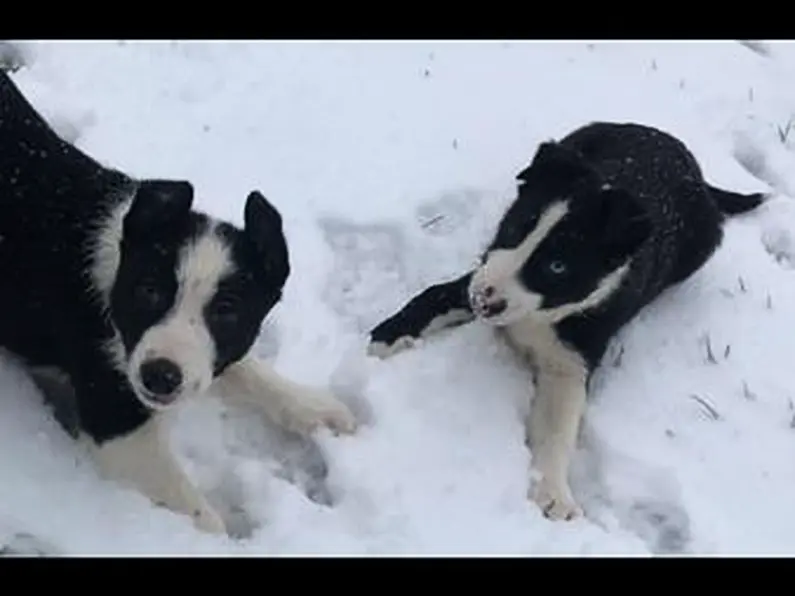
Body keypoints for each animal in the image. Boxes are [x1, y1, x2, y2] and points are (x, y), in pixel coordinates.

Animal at [0, 70, 356, 536]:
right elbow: (203, 518)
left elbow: (246, 368)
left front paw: (313, 408)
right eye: (148, 291)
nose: (160, 377)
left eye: (227, 310)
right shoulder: (119, 427)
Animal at [366, 122, 764, 520]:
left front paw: (554, 495)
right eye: (515, 229)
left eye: (558, 266)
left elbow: (558, 427)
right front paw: (385, 339)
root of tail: (692, 166)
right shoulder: (480, 272)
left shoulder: (572, 360)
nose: (484, 301)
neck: (538, 316)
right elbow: (431, 296)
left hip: (703, 244)